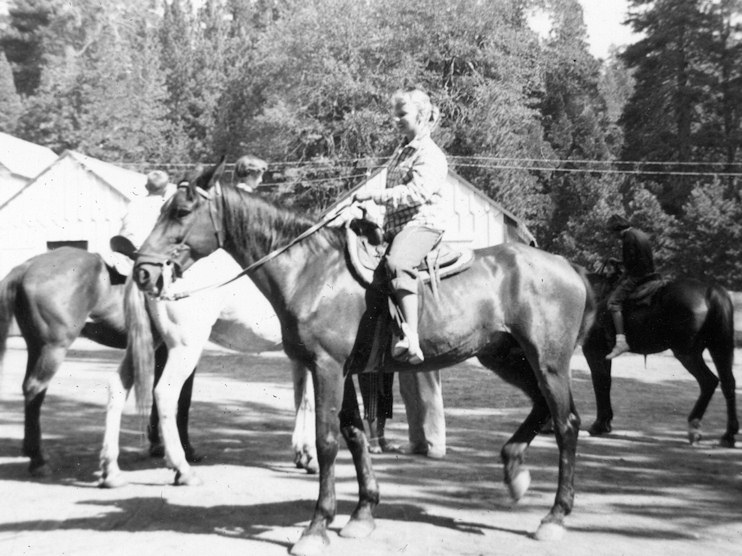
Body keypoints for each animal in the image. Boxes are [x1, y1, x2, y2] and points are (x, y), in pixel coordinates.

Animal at [0, 248, 198, 478]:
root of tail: (26, 266)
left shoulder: (163, 348)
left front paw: (158, 444)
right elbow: (183, 398)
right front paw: (186, 449)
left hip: (36, 346)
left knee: (32, 391)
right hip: (53, 348)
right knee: (34, 388)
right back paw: (38, 460)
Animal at [135, 162, 600, 556]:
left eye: (181, 210)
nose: (143, 271)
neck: (312, 272)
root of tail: (568, 266)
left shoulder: (326, 369)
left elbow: (326, 442)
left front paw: (317, 526)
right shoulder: (341, 372)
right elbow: (355, 436)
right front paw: (362, 514)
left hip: (548, 361)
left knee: (566, 424)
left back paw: (554, 517)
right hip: (506, 358)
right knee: (543, 409)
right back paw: (515, 472)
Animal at [588, 258, 740, 446]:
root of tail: (710, 292)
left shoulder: (593, 351)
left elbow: (599, 383)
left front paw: (599, 424)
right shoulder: (603, 354)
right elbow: (606, 382)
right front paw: (605, 422)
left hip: (687, 354)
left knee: (708, 381)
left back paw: (695, 427)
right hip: (719, 348)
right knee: (728, 383)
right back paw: (728, 435)